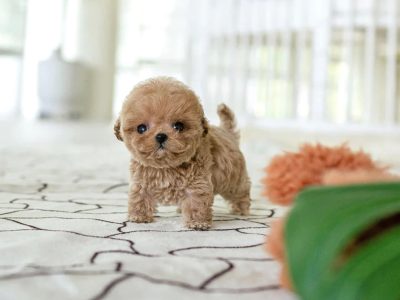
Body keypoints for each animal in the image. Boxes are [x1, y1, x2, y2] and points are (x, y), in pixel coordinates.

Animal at [113, 77, 250, 230]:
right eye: (141, 128)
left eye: (179, 126)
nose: (161, 136)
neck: (166, 166)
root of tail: (227, 133)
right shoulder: (141, 179)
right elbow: (139, 195)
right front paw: (139, 216)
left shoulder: (197, 182)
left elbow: (196, 201)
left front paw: (197, 222)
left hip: (233, 179)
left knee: (240, 190)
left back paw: (241, 209)